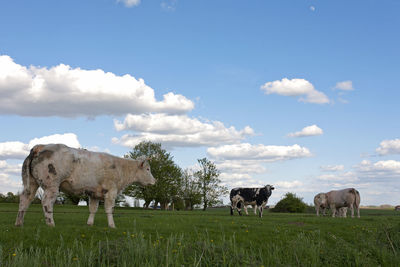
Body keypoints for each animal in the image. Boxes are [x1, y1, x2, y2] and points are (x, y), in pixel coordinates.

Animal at [14, 144, 155, 228]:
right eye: (148, 169)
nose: (155, 181)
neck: (121, 169)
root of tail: (40, 146)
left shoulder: (94, 193)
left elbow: (93, 209)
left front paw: (89, 224)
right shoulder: (111, 191)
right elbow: (109, 209)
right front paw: (112, 226)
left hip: (31, 183)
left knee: (25, 199)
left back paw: (19, 223)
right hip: (51, 185)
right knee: (46, 203)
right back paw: (51, 224)